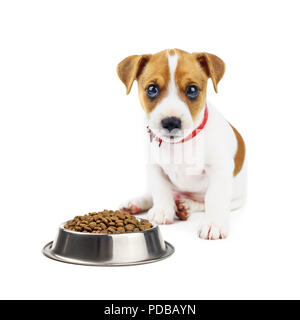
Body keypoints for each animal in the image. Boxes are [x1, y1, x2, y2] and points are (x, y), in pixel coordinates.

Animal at [116, 48, 245, 239]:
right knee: (158, 193)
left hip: (236, 198)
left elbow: (214, 198)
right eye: (152, 89)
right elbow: (160, 189)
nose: (171, 122)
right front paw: (162, 210)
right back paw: (137, 203)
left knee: (203, 202)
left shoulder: (219, 169)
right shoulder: (154, 166)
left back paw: (185, 205)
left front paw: (213, 224)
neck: (179, 145)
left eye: (192, 89)